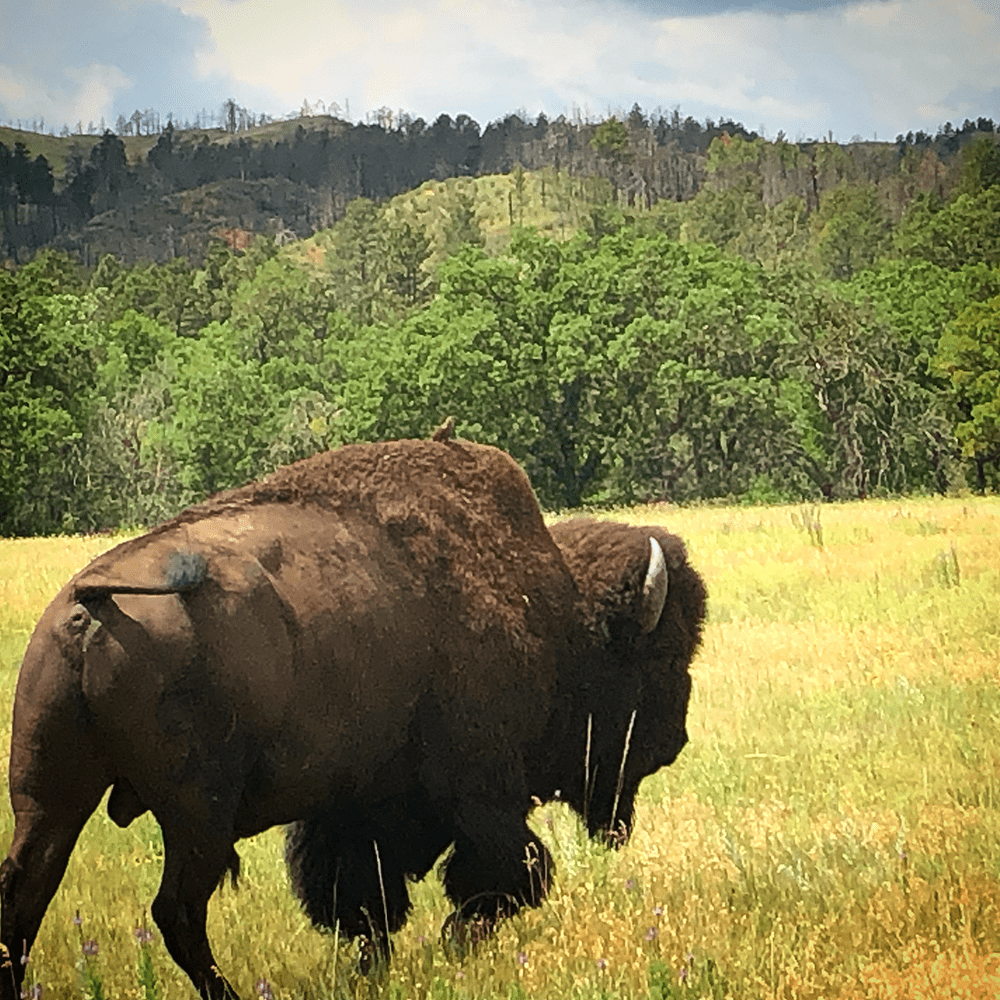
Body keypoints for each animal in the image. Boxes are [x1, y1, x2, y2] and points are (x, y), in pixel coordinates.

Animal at [0, 442, 708, 996]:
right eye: (663, 656)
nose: (675, 740)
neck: (551, 613)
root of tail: (91, 603)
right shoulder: (480, 792)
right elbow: (506, 875)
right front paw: (452, 945)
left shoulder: (358, 807)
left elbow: (363, 898)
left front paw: (378, 967)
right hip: (196, 811)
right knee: (177, 910)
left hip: (49, 797)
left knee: (24, 899)